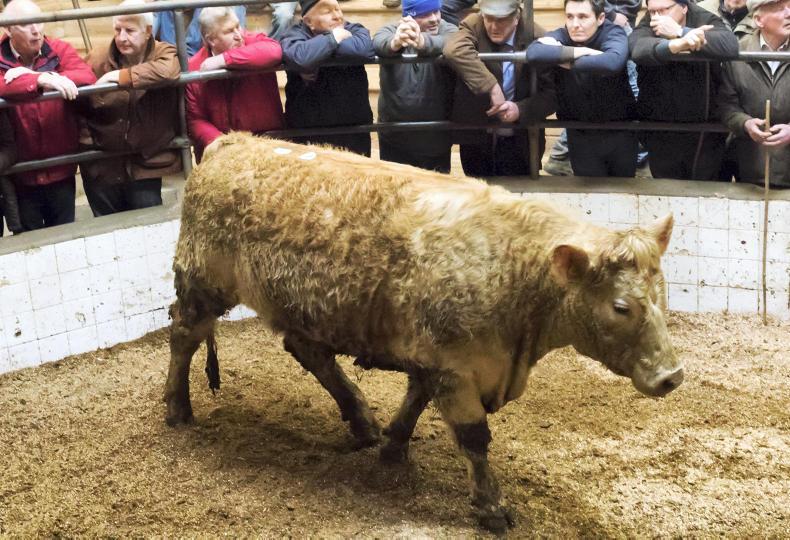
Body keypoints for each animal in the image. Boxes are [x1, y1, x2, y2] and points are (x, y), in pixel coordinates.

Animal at [164, 132, 683, 533]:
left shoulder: (434, 356)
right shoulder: (454, 367)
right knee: (184, 335)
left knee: (308, 352)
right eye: (621, 306)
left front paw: (393, 447)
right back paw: (177, 409)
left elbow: (414, 400)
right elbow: (474, 438)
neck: (510, 268)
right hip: (202, 284)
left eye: (662, 291)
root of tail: (232, 143)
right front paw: (491, 507)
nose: (671, 376)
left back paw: (361, 421)